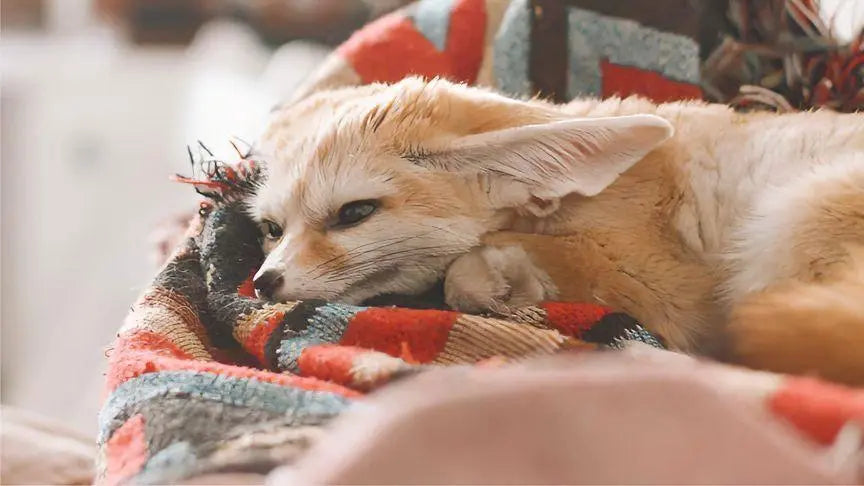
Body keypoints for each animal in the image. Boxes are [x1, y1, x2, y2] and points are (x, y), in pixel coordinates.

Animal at [249, 77, 864, 385]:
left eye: (354, 213)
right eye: (273, 229)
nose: (262, 283)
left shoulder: (672, 290)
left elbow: (464, 274)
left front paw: (496, 285)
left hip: (785, 227)